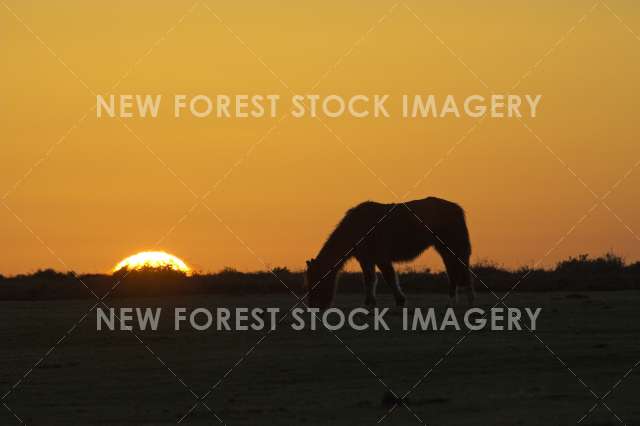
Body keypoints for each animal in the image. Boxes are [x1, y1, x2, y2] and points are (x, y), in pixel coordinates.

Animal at [304, 196, 474, 308]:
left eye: (317, 280)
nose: (313, 306)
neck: (357, 227)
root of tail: (456, 208)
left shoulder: (381, 258)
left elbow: (389, 278)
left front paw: (400, 300)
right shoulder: (366, 260)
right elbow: (369, 279)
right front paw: (369, 303)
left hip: (455, 247)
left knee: (462, 271)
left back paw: (469, 301)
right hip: (444, 249)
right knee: (452, 271)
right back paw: (452, 302)